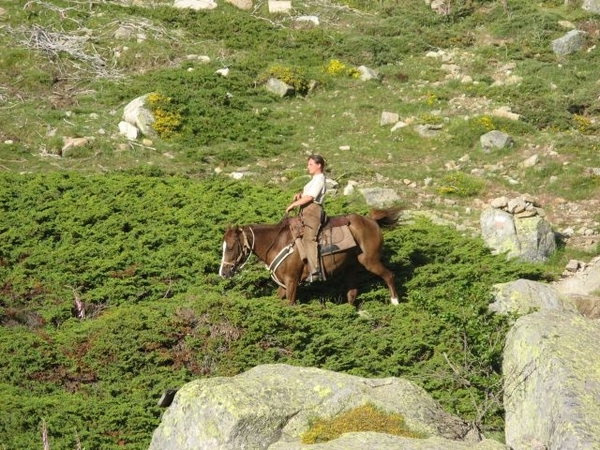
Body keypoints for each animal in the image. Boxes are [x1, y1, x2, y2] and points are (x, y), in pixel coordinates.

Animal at [218, 207, 400, 306]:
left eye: (232, 247)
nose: (223, 273)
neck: (277, 244)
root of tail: (371, 221)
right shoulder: (283, 284)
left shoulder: (292, 282)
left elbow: (290, 303)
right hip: (351, 267)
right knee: (352, 292)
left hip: (370, 261)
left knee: (390, 275)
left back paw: (395, 302)